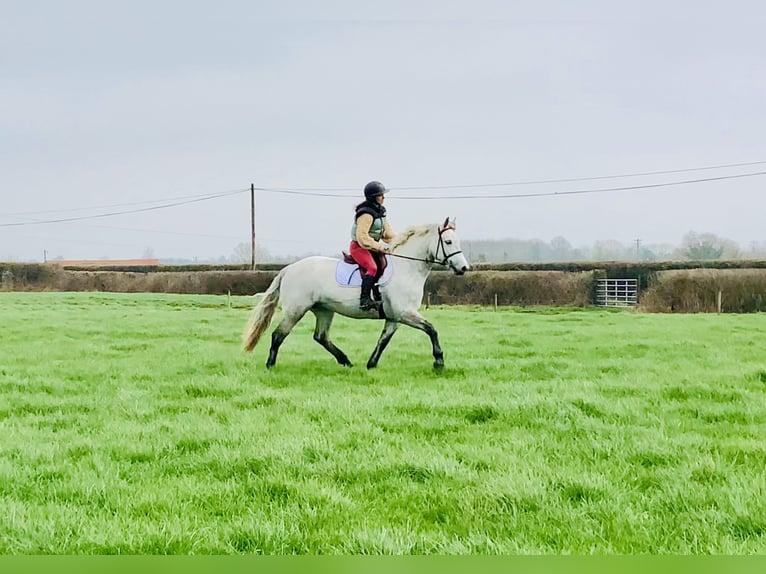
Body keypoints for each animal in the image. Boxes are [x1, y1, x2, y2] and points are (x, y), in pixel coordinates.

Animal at [242, 217, 470, 369]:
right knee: (278, 335)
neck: (407, 268)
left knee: (320, 337)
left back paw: (346, 361)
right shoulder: (405, 314)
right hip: (295, 310)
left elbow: (383, 341)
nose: (464, 268)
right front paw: (439, 361)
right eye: (448, 242)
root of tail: (289, 269)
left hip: (324, 310)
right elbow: (432, 330)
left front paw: (371, 364)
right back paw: (270, 365)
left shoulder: (394, 318)